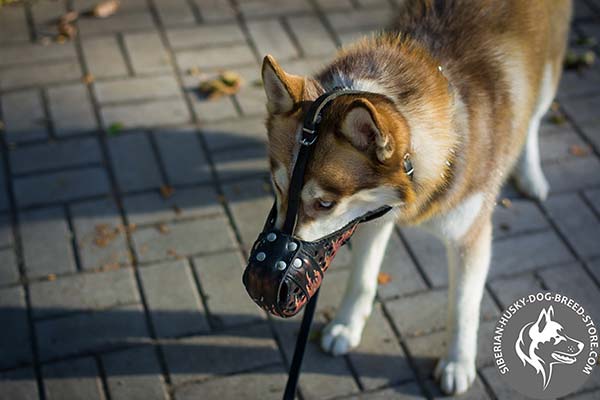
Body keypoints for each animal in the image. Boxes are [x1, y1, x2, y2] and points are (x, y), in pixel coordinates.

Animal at [260, 0, 568, 394]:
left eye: (324, 203)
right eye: (278, 186)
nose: (272, 281)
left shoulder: (470, 237)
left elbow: (463, 307)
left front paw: (457, 363)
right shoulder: (369, 218)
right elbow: (362, 278)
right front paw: (347, 325)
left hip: (547, 78)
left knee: (533, 119)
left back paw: (531, 174)